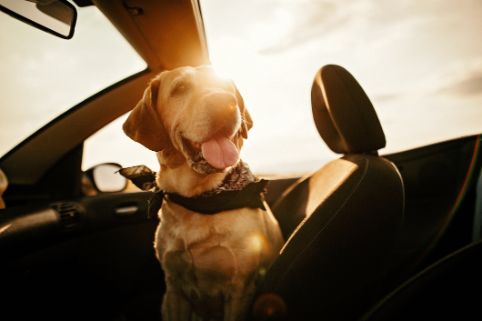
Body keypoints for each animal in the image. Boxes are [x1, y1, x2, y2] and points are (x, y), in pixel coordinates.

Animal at [122, 65, 284, 320]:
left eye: (227, 87)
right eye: (180, 88)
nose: (225, 103)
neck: (199, 199)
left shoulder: (240, 289)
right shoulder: (174, 288)